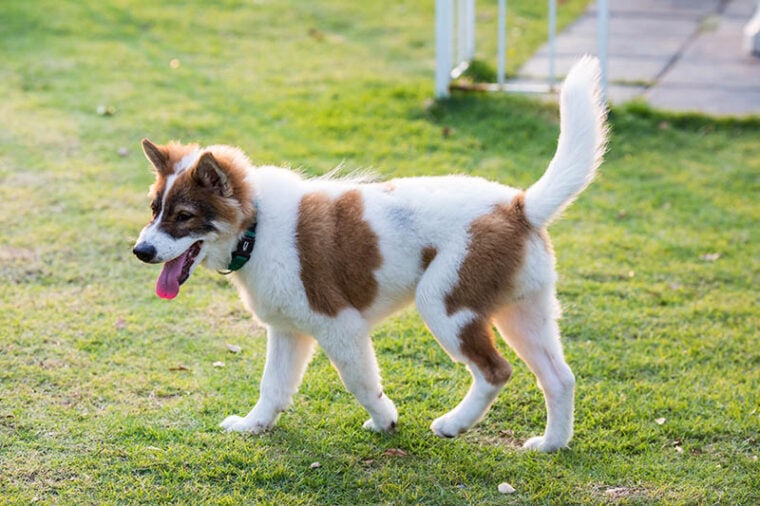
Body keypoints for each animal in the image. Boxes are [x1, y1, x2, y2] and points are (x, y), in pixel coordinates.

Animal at [131, 55, 604, 450]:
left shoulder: (341, 326)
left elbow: (358, 382)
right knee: (560, 377)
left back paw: (454, 423)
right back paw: (552, 444)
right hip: (523, 313)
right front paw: (254, 425)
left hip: (445, 304)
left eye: (184, 216)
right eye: (155, 209)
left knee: (495, 371)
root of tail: (519, 206)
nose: (141, 250)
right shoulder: (287, 331)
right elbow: (273, 387)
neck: (256, 228)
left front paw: (385, 419)